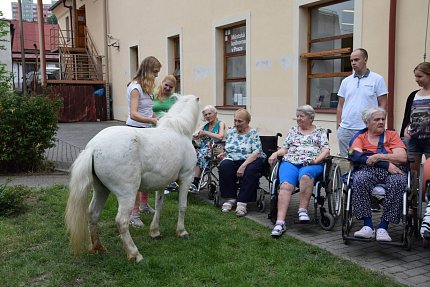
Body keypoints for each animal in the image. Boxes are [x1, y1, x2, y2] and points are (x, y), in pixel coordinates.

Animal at [65, 95, 200, 264]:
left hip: (101, 190)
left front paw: (155, 232)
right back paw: (134, 253)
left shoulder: (162, 184)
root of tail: (93, 148)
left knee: (93, 214)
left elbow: (159, 206)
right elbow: (182, 206)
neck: (178, 130)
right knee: (122, 221)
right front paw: (182, 231)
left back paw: (98, 247)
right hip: (127, 194)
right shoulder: (186, 178)